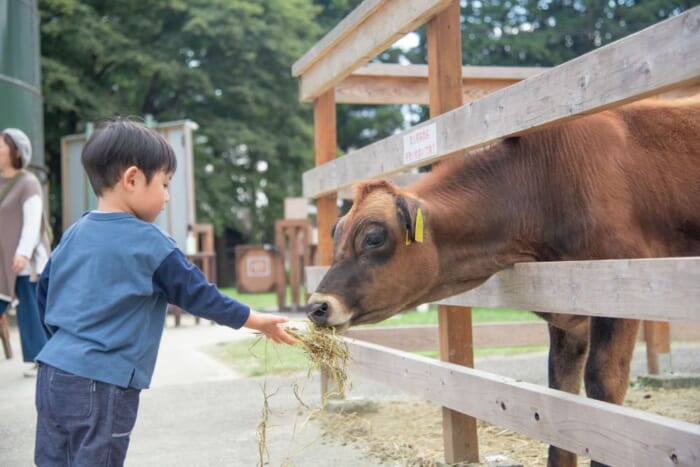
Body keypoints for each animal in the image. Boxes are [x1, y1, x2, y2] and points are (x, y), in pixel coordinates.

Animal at [306, 98, 700, 467]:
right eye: (336, 234)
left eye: (373, 238)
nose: (316, 306)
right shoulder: (567, 315)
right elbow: (562, 393)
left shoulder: (617, 291)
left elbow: (604, 389)